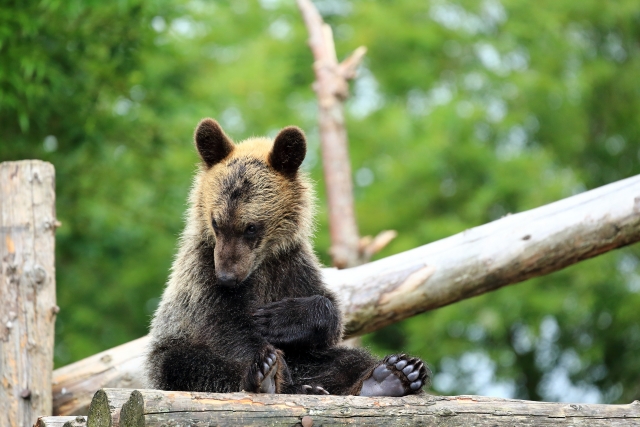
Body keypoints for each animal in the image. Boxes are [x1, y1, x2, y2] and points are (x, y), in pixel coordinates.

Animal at [145, 118, 431, 396]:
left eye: (251, 227)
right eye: (216, 222)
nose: (226, 277)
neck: (262, 262)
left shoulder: (292, 266)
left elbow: (330, 313)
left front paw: (277, 318)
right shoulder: (202, 273)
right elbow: (228, 327)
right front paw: (268, 362)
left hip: (309, 359)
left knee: (347, 360)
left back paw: (393, 374)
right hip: (169, 353)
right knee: (186, 363)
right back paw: (271, 379)